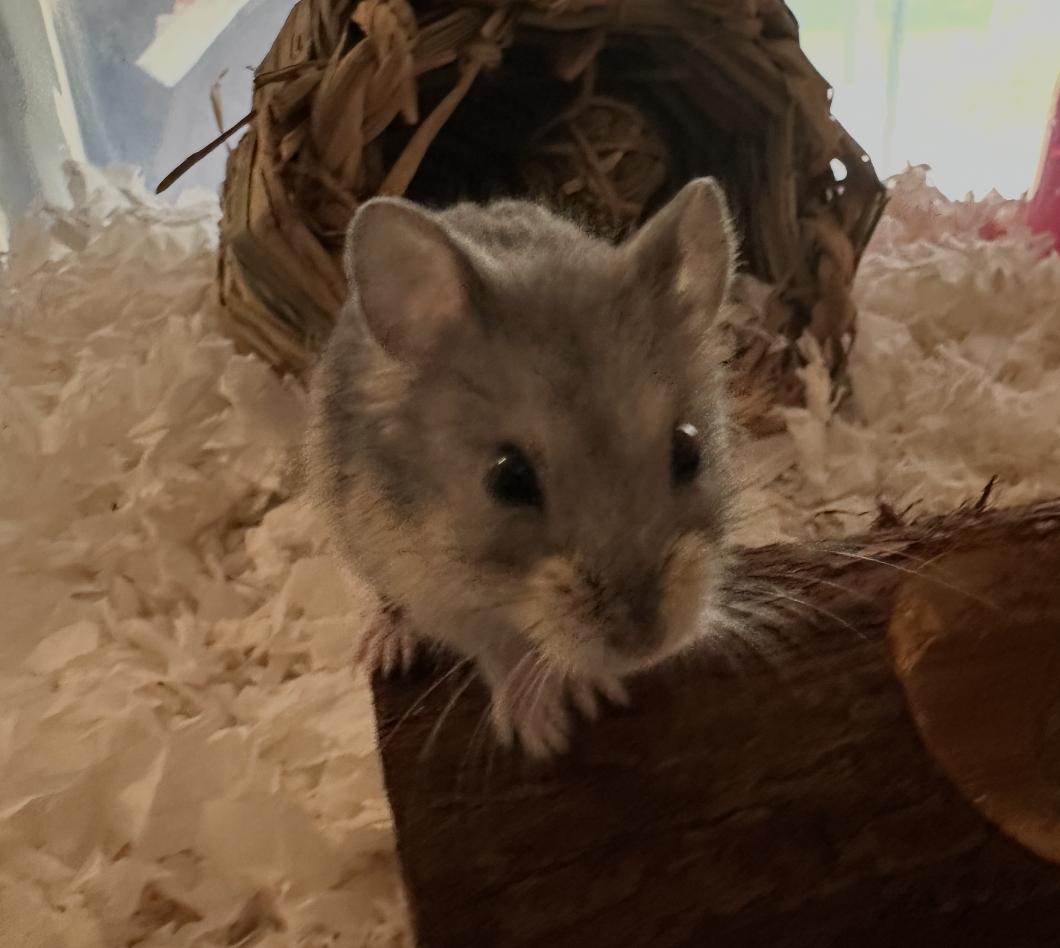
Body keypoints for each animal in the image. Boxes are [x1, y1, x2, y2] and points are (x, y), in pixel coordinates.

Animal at [303, 178, 738, 758]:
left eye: (689, 450)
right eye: (507, 478)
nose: (644, 646)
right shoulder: (434, 592)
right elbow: (501, 645)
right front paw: (551, 729)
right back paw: (385, 648)